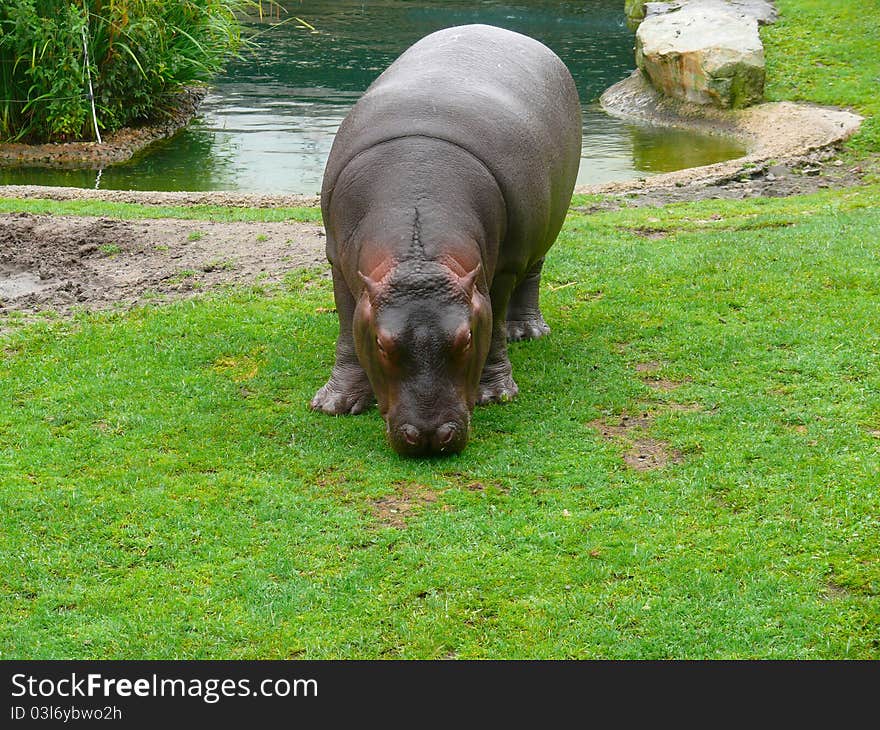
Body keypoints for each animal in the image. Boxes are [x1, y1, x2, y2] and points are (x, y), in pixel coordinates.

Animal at [310, 24, 584, 456]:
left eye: (466, 337)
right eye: (382, 343)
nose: (428, 437)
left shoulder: (501, 270)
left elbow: (494, 323)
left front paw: (497, 394)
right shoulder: (338, 259)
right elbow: (347, 332)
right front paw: (334, 404)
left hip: (545, 226)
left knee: (533, 276)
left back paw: (527, 332)